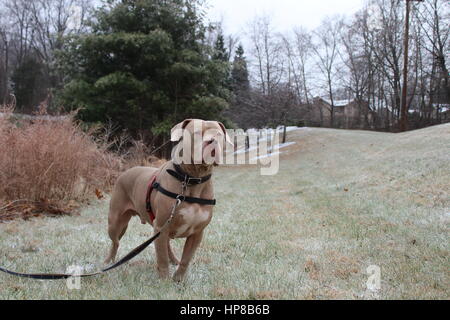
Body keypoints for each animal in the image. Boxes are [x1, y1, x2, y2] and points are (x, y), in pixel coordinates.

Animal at [104, 119, 232, 282]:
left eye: (219, 134)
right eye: (196, 133)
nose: (212, 141)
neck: (191, 179)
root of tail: (126, 171)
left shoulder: (197, 233)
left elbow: (186, 258)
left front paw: (178, 279)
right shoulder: (161, 225)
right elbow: (162, 257)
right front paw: (164, 280)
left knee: (165, 245)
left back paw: (174, 260)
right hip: (115, 222)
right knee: (116, 242)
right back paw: (109, 262)